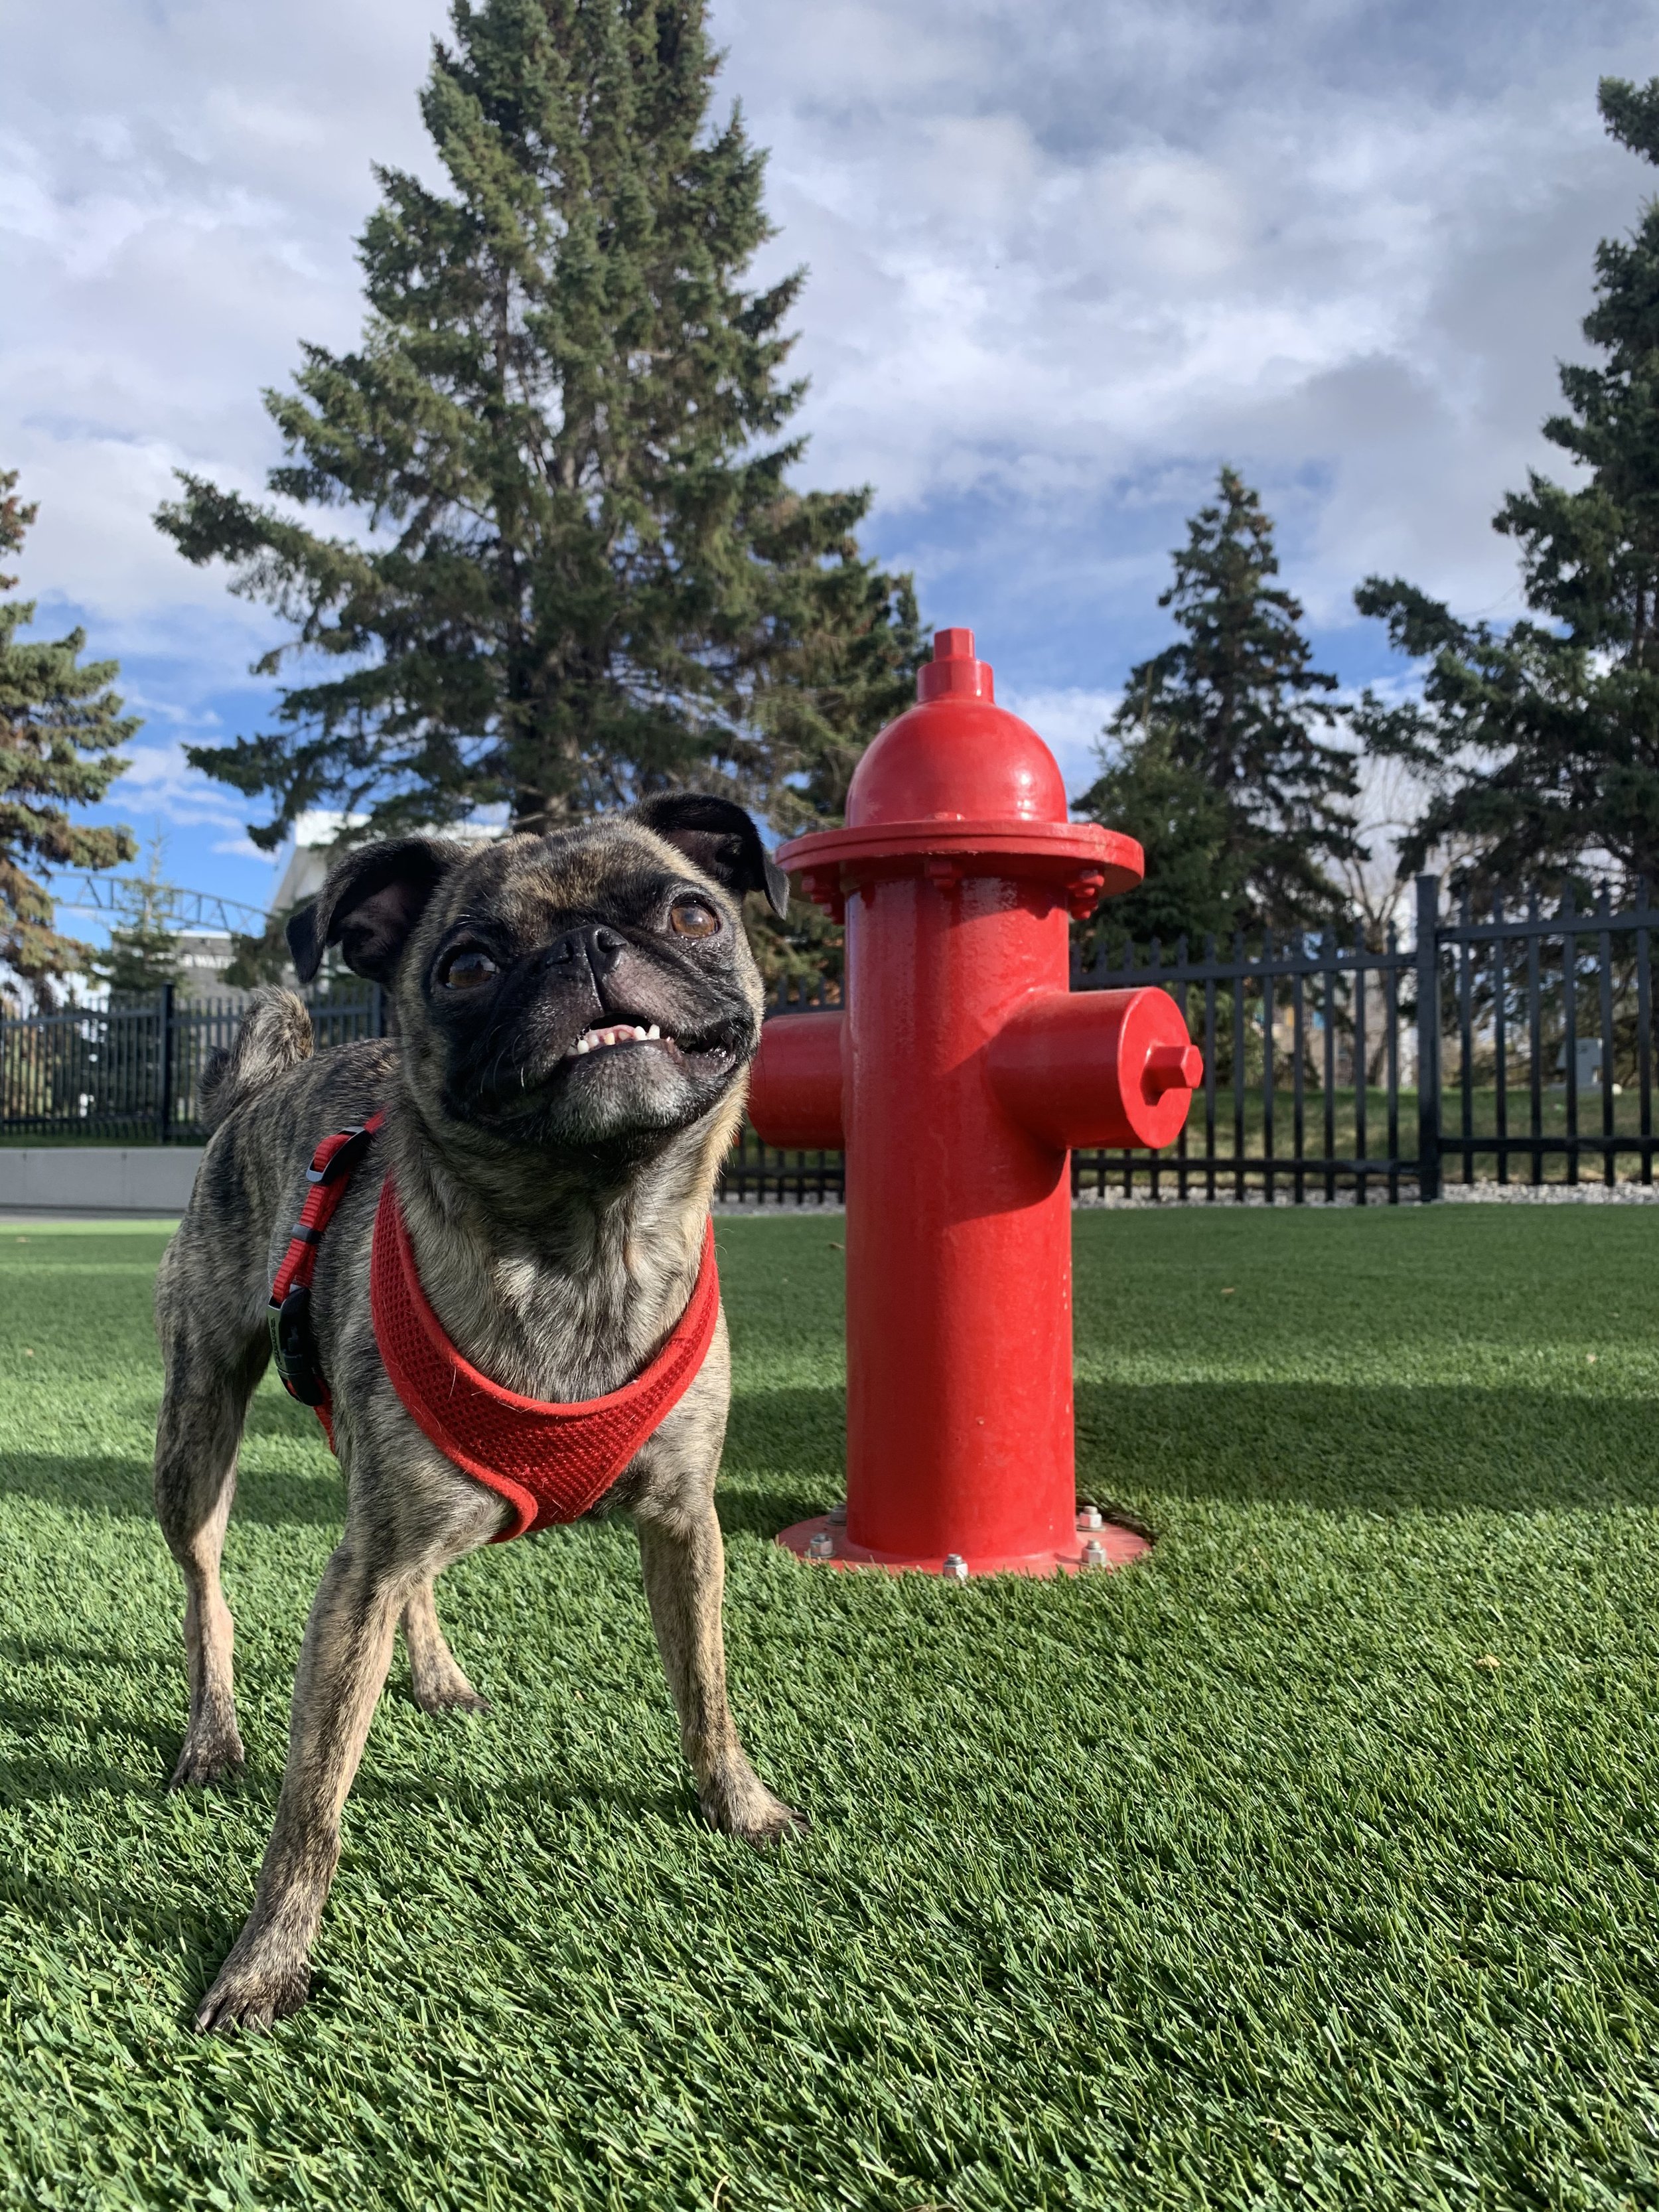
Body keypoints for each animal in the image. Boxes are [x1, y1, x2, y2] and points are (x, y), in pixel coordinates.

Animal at [153, 800, 810, 2035]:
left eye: (691, 914)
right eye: (464, 966)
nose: (587, 947)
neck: (583, 1241)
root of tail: (254, 1095)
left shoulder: (684, 1527)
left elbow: (705, 1687)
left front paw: (738, 1802)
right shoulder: (353, 1580)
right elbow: (311, 1806)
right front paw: (266, 1960)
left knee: (418, 1574)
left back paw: (435, 1671)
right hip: (197, 1433)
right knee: (208, 1582)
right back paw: (212, 1732)